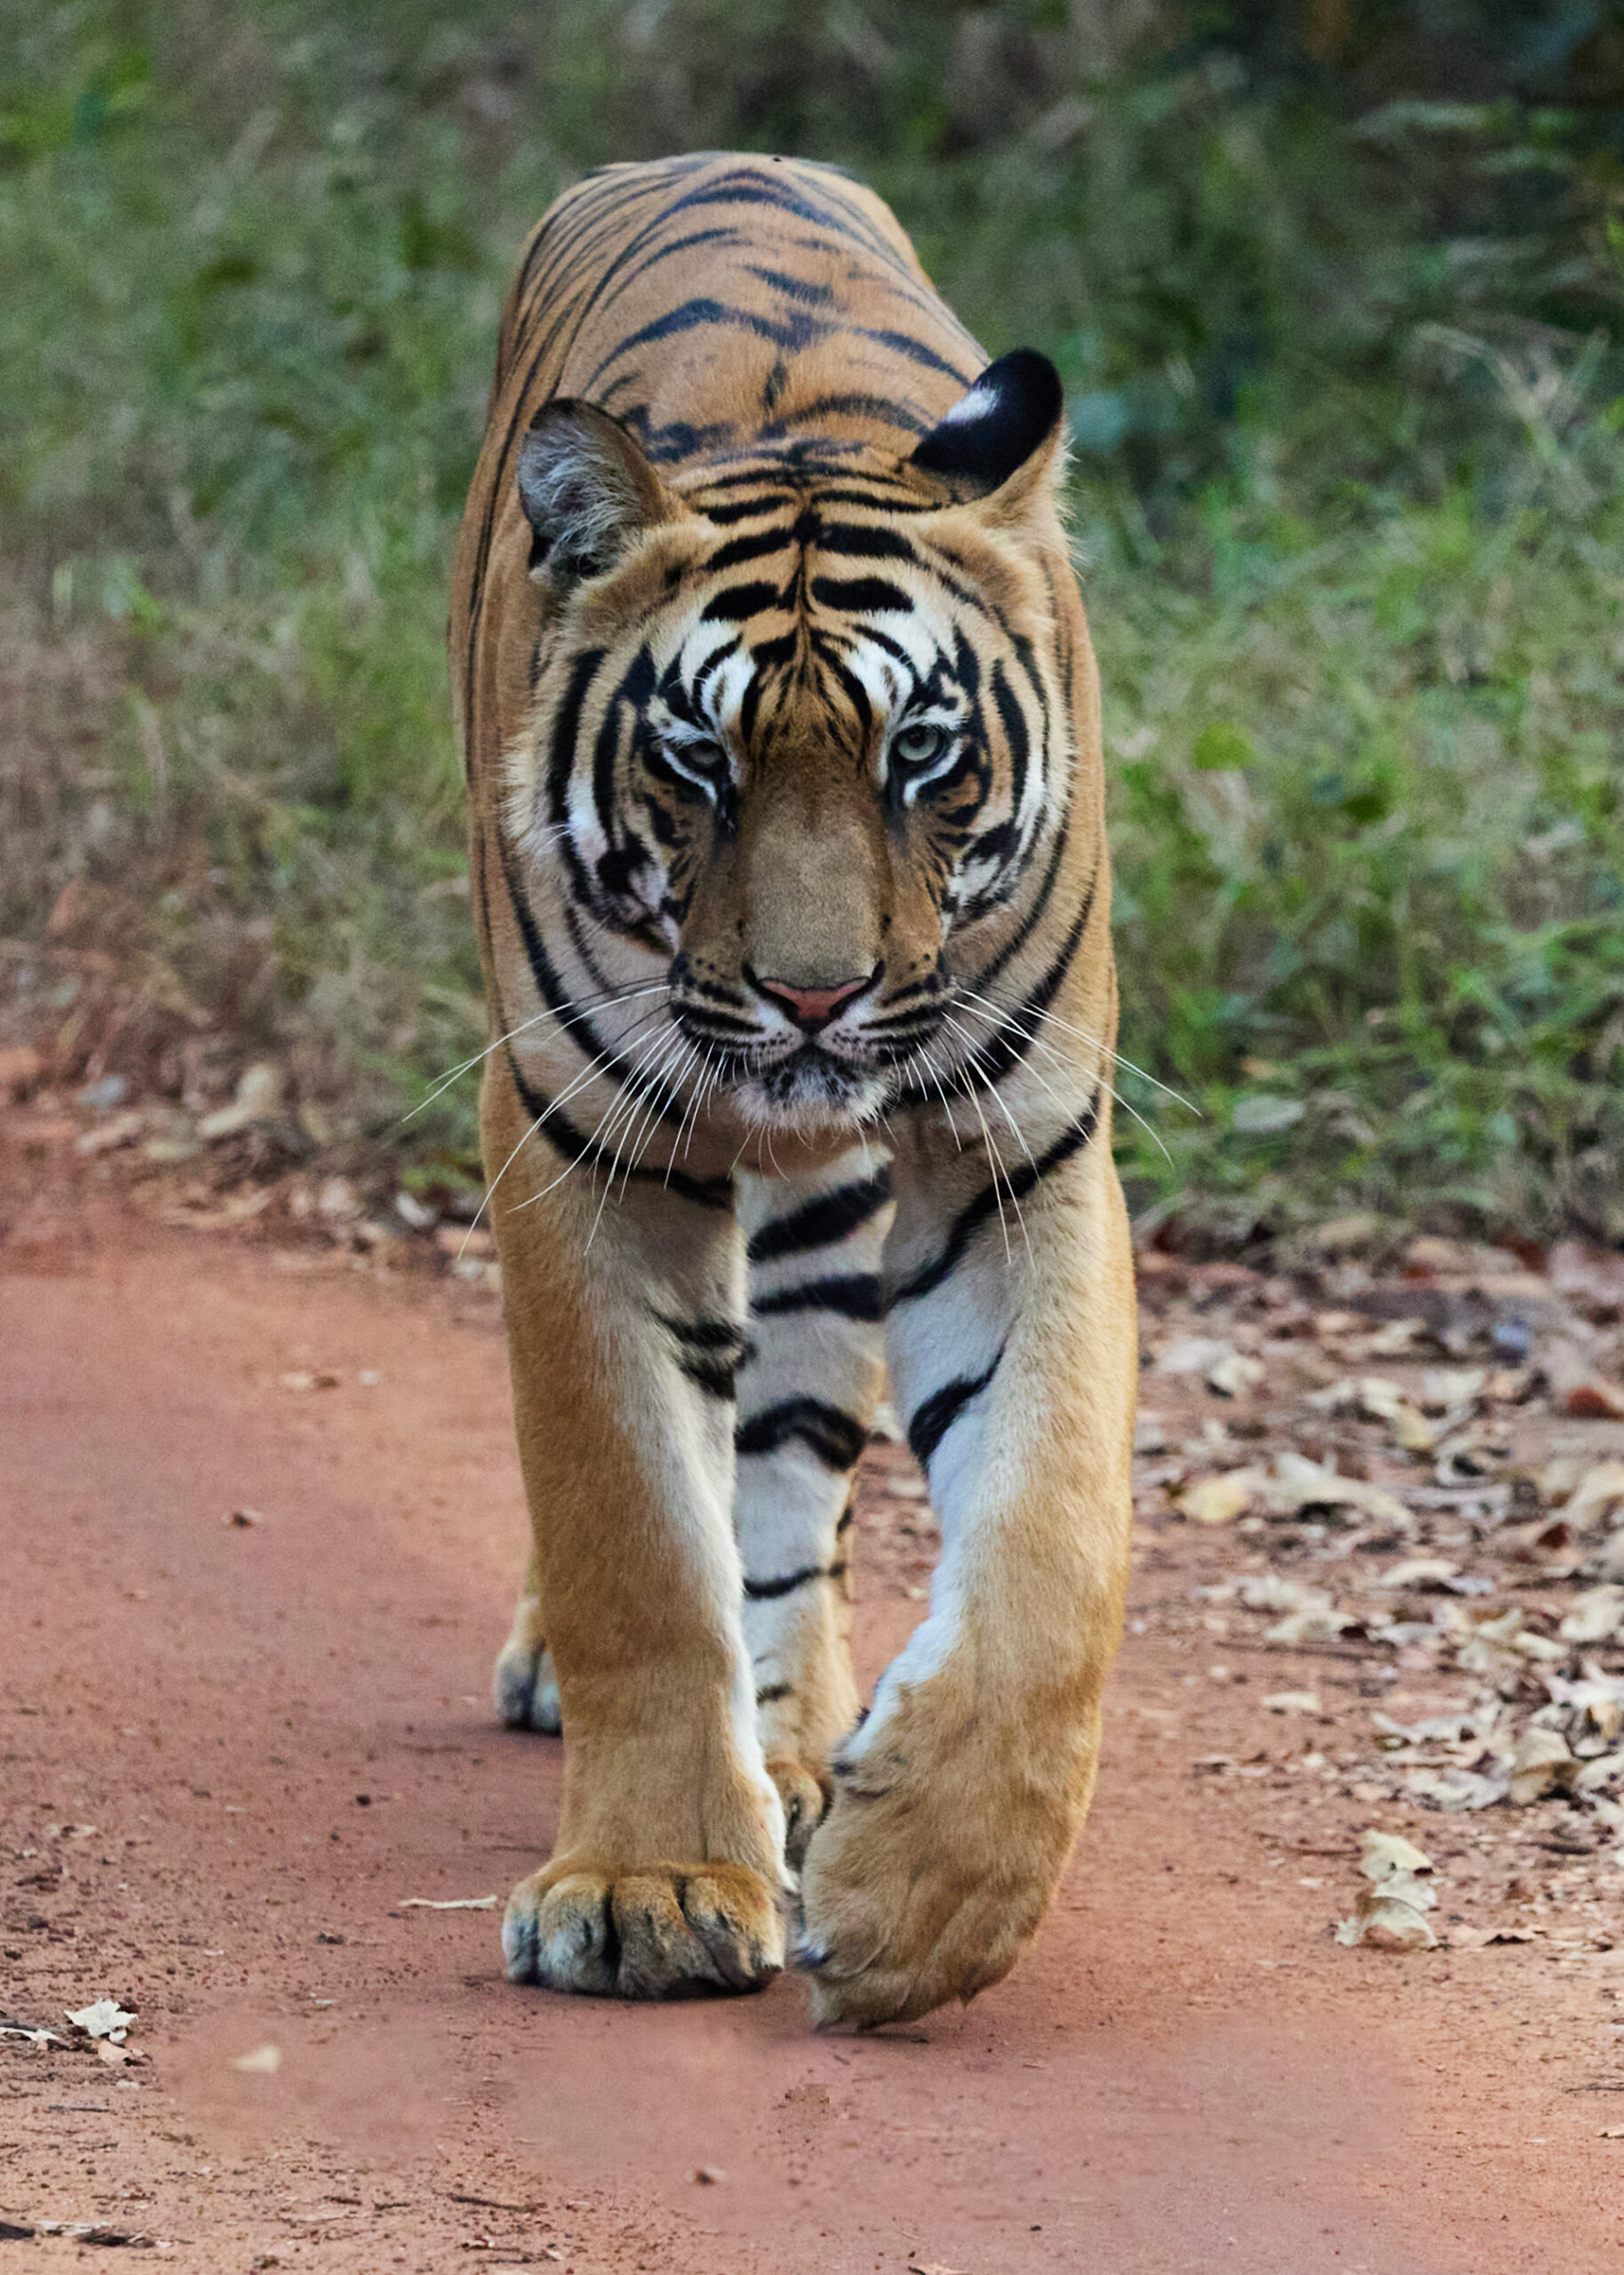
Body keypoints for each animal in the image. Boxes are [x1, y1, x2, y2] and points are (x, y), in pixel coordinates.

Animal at [443, 151, 1127, 2020]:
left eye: (920, 756)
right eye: (697, 762)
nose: (814, 996)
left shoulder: (1016, 1152)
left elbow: (1054, 1540)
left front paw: (925, 1899)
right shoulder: (578, 1142)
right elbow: (626, 1528)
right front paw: (650, 1890)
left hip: (834, 1199)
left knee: (793, 1455)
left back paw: (807, 1749)